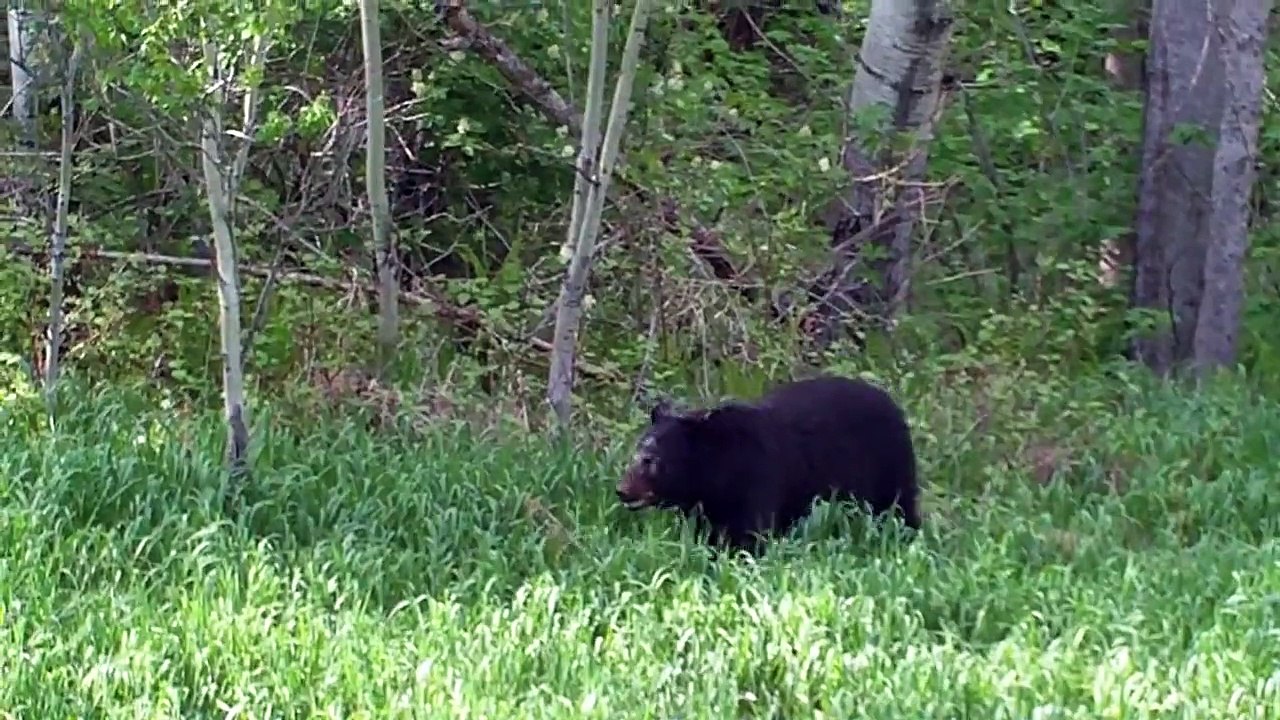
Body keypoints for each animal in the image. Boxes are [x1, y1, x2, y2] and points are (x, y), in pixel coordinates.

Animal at [614, 373, 922, 554]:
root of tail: (893, 404)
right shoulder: (707, 506)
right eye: (634, 454)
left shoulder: (757, 479)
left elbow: (750, 535)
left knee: (900, 508)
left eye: (651, 460)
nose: (622, 490)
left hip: (889, 468)